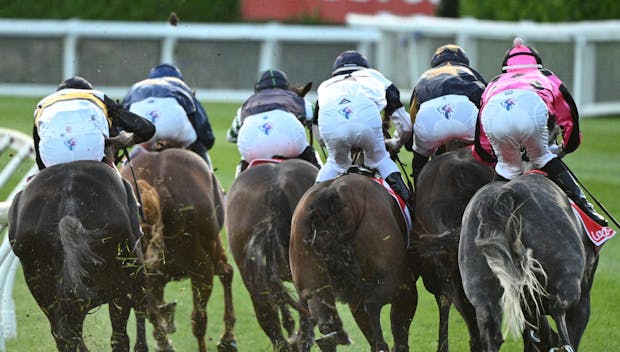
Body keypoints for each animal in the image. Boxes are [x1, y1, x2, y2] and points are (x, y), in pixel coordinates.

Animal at [290, 173, 416, 352]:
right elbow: (399, 329)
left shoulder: (355, 295)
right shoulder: (406, 288)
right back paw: (381, 344)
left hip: (313, 286)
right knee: (372, 306)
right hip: (395, 280)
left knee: (321, 324)